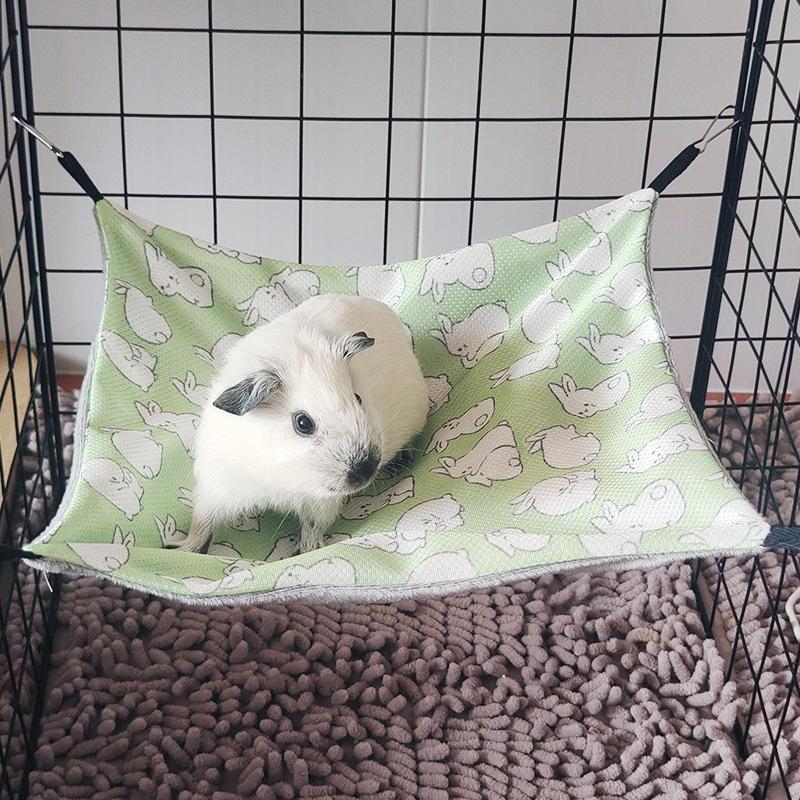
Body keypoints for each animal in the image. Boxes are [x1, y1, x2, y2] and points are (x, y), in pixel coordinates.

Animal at [173, 294, 429, 554]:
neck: (282, 477)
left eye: (358, 398)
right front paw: (181, 549)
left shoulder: (320, 503)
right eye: (303, 423)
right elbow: (201, 525)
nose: (367, 469)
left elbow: (313, 527)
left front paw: (305, 550)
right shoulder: (215, 490)